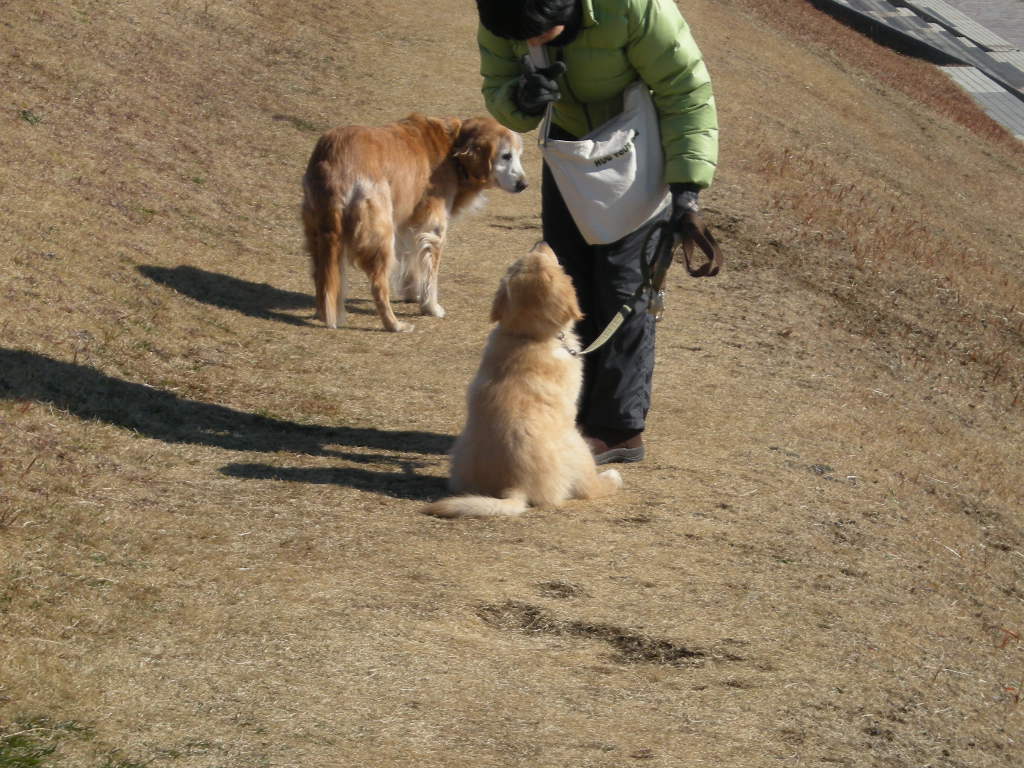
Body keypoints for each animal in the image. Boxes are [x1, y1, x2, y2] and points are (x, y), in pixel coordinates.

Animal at [419, 243, 618, 520]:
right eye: (550, 261)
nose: (541, 243)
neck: (527, 336)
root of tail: (513, 487)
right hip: (579, 445)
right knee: (590, 487)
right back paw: (612, 478)